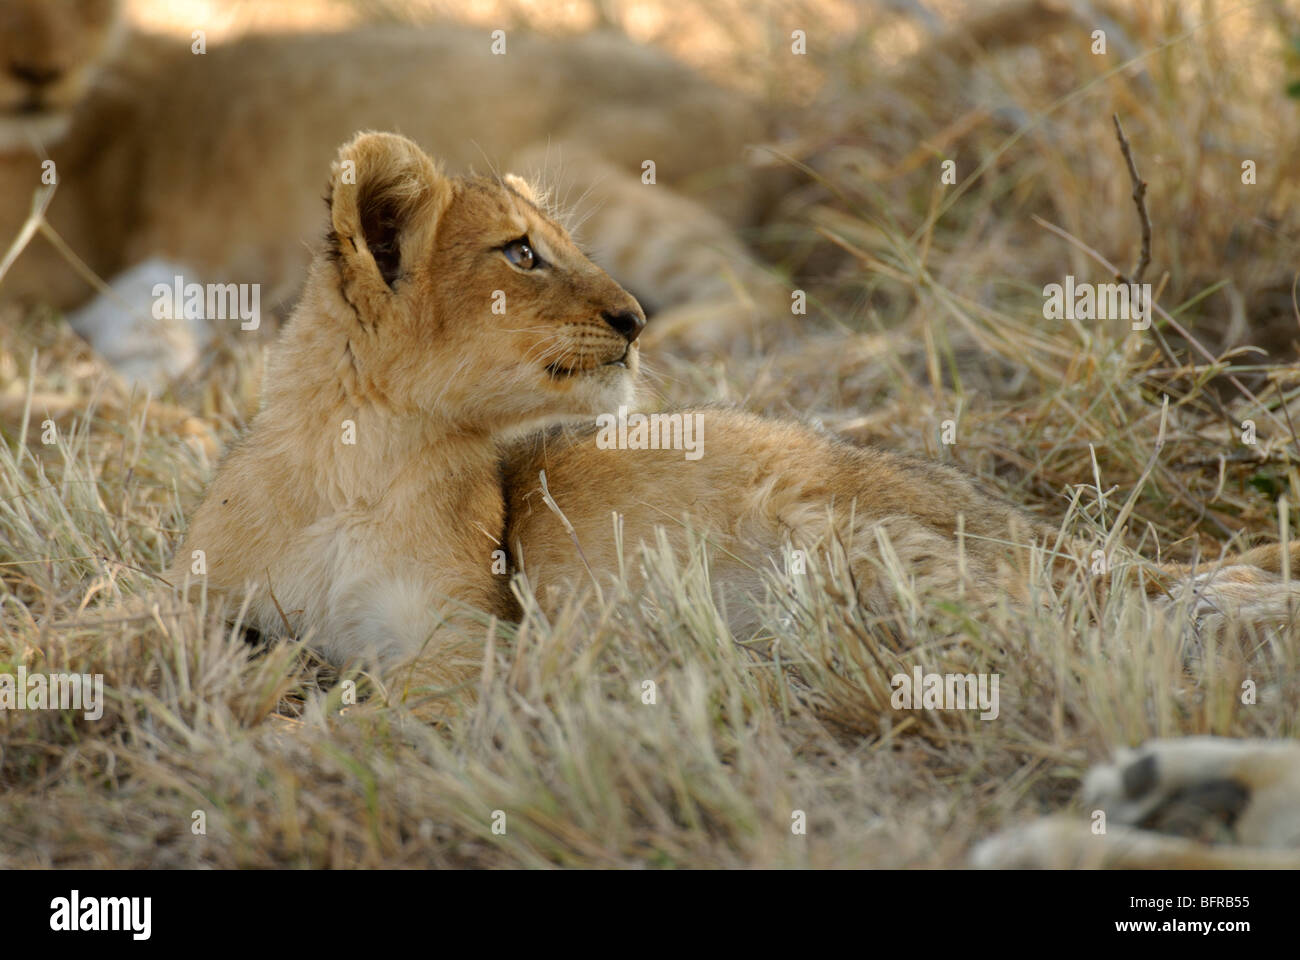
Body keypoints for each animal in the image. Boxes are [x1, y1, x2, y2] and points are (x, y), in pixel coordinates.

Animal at [170, 130, 1300, 869]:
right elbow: (175, 651)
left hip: (849, 535)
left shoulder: (470, 634)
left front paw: (268, 751)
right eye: (521, 252)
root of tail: (997, 507)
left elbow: (370, 706)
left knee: (1086, 613)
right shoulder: (205, 603)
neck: (354, 460)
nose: (637, 318)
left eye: (555, 243)